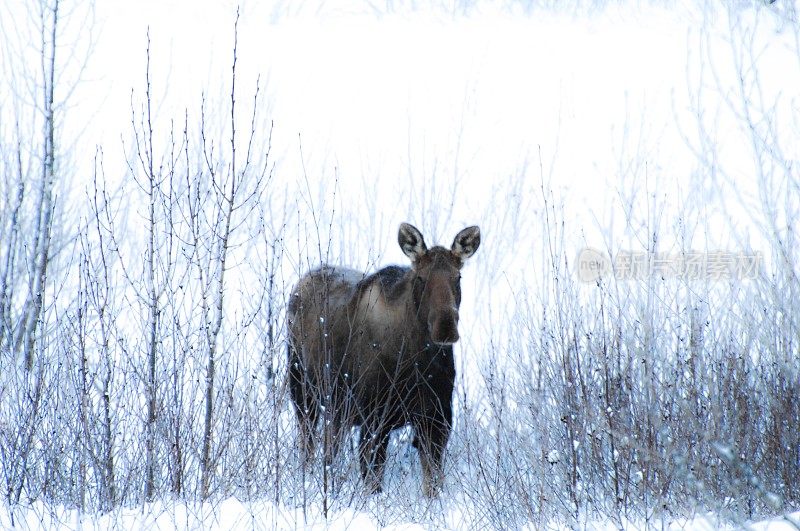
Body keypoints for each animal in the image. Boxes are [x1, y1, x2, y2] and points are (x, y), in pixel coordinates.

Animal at [288, 222, 482, 496]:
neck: (418, 362)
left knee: (331, 448)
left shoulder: (437, 418)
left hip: (336, 410)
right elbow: (373, 480)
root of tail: (302, 282)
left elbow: (433, 484)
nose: (445, 329)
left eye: (458, 277)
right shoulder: (374, 420)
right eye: (420, 278)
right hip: (303, 392)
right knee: (309, 443)